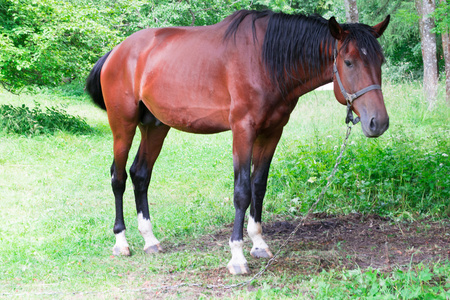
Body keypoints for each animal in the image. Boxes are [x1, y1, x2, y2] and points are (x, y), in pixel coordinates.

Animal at [86, 10, 388, 276]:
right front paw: (237, 257)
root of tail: (116, 51)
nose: (378, 122)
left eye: (380, 61)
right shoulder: (243, 130)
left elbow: (259, 186)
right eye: (348, 62)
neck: (266, 61)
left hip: (155, 127)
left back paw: (150, 240)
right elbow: (242, 191)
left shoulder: (272, 132)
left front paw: (259, 243)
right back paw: (121, 242)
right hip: (123, 126)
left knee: (140, 174)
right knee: (118, 177)